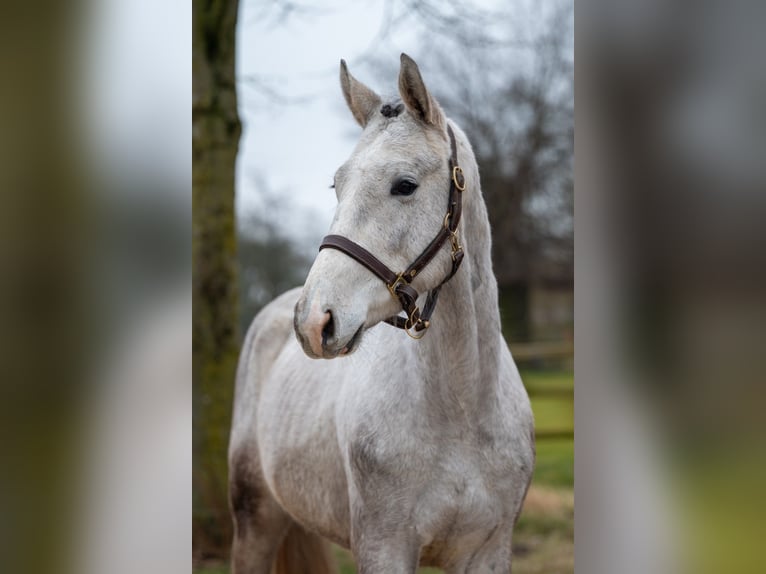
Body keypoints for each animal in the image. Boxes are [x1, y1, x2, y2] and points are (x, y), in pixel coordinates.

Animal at [231, 55, 536, 574]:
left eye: (404, 185)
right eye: (337, 185)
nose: (313, 322)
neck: (462, 412)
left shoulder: (488, 550)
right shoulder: (384, 547)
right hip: (254, 524)